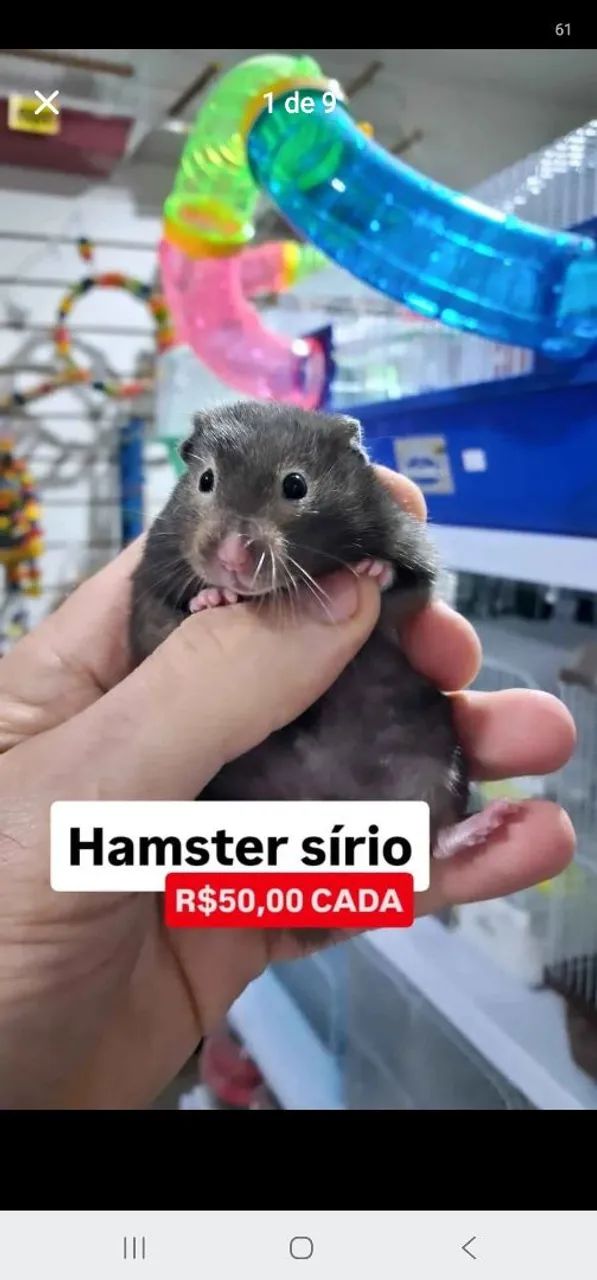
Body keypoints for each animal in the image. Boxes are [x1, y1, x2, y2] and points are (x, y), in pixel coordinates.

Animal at [130, 401, 518, 940]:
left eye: (295, 485)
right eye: (205, 480)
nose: (232, 559)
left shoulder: (408, 553)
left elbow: (403, 588)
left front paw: (370, 571)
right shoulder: (152, 585)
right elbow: (171, 618)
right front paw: (213, 598)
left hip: (434, 758)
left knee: (435, 838)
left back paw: (498, 819)